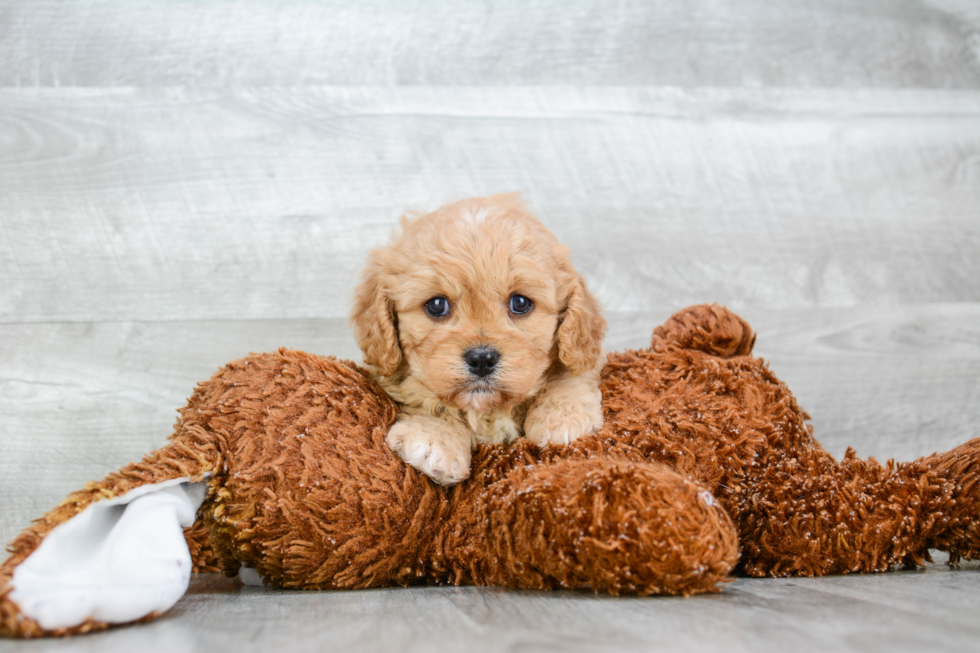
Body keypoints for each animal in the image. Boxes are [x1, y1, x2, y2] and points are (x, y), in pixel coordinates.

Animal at [352, 194, 604, 484]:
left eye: (520, 303)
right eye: (437, 305)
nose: (482, 359)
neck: (487, 410)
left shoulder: (584, 352)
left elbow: (571, 374)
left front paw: (562, 417)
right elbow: (427, 401)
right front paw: (433, 437)